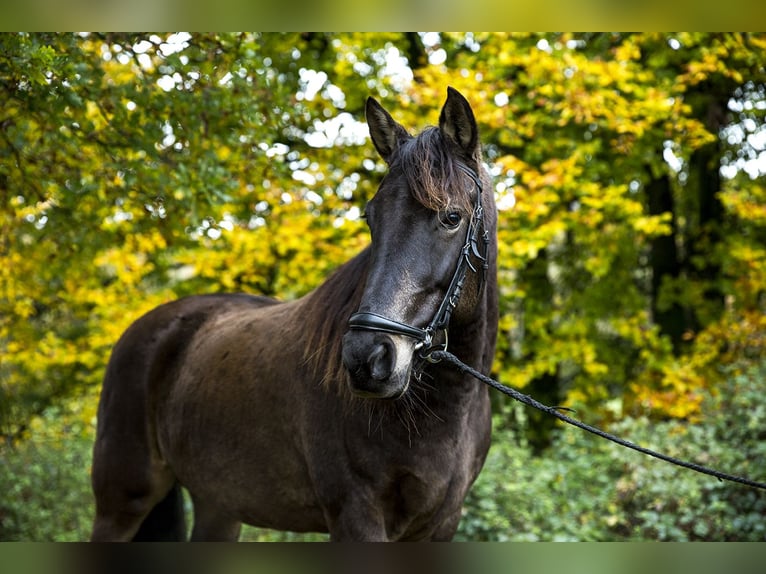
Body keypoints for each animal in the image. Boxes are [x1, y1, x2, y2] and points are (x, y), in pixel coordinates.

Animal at [90, 87, 498, 541]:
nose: (366, 358)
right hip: (121, 504)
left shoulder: (441, 525)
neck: (443, 409)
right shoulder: (356, 517)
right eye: (371, 217)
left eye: (451, 217)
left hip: (219, 506)